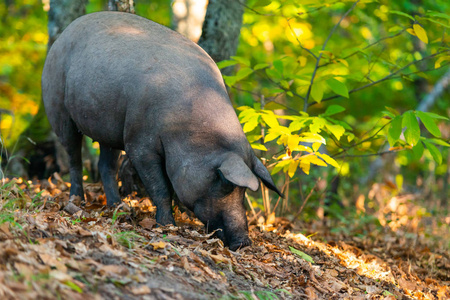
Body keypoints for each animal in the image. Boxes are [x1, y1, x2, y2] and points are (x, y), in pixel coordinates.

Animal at [42, 11, 282, 251]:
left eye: (243, 192)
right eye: (224, 183)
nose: (244, 242)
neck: (189, 131)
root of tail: (63, 35)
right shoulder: (139, 145)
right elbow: (161, 188)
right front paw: (167, 226)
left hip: (109, 129)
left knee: (105, 165)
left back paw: (117, 207)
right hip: (58, 109)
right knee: (74, 157)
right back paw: (77, 200)